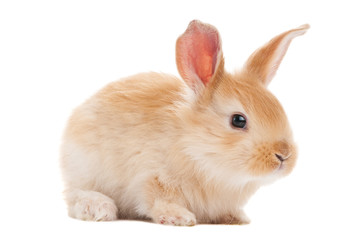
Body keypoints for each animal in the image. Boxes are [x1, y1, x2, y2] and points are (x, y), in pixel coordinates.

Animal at [60, 20, 308, 225]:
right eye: (238, 120)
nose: (284, 155)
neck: (195, 148)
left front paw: (236, 217)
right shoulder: (153, 176)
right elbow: (158, 199)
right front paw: (179, 218)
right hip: (84, 169)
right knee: (74, 197)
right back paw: (99, 207)